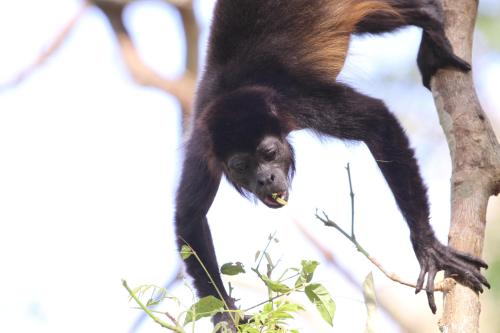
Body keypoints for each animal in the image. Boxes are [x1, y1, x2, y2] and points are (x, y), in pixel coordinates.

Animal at [173, 0, 488, 326]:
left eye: (269, 153)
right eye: (240, 166)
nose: (265, 179)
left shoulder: (296, 102)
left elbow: (377, 121)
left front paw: (427, 247)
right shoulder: (202, 145)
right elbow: (190, 216)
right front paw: (225, 315)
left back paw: (430, 23)